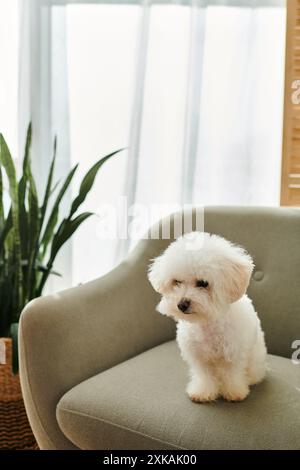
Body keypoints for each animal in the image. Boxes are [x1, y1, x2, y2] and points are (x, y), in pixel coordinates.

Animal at [148, 233, 268, 402]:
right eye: (176, 282)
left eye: (203, 283)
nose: (181, 304)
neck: (207, 322)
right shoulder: (199, 358)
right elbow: (205, 377)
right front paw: (203, 392)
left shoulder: (233, 355)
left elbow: (232, 375)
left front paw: (234, 392)